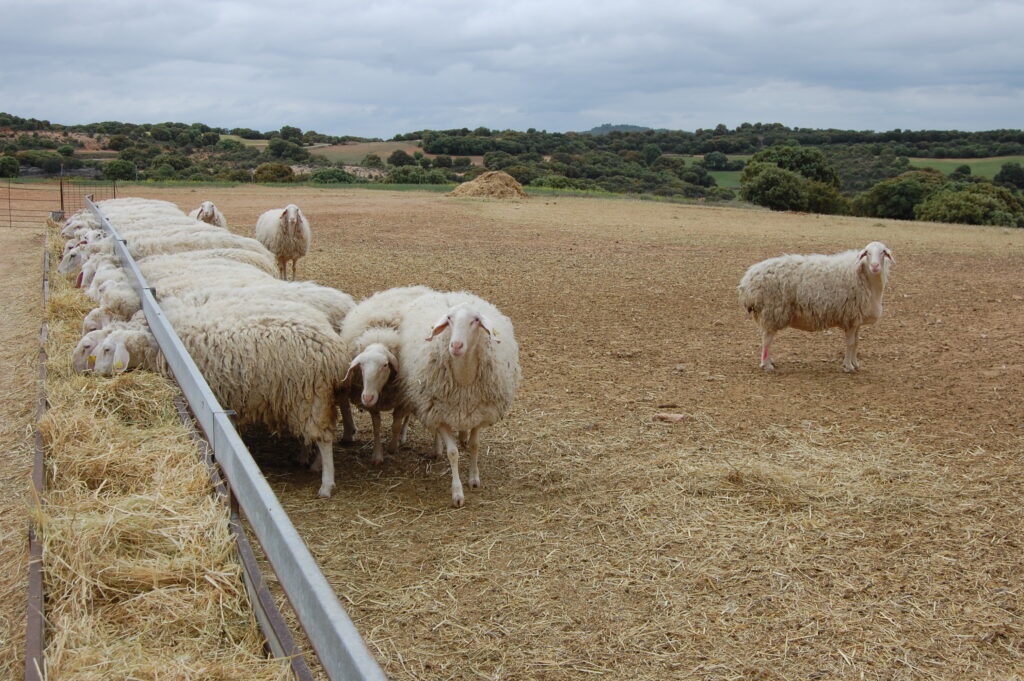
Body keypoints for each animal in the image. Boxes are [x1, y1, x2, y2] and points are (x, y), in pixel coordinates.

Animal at [398, 290, 521, 507]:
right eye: (449, 319)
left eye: (476, 320)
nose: (455, 345)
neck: (463, 379)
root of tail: (452, 294)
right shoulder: (439, 414)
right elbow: (452, 453)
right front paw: (457, 493)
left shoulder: (481, 413)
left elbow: (474, 445)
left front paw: (474, 479)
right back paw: (437, 447)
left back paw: (461, 436)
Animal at [737, 241, 895, 373]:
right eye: (867, 253)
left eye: (883, 252)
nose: (875, 266)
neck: (864, 276)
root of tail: (747, 281)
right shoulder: (850, 317)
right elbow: (850, 343)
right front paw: (848, 366)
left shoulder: (856, 320)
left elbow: (856, 343)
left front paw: (855, 364)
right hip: (772, 311)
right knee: (767, 339)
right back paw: (767, 365)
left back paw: (770, 362)